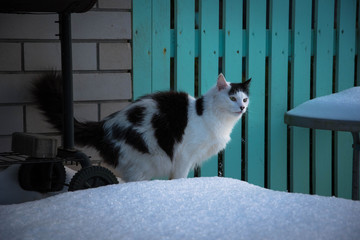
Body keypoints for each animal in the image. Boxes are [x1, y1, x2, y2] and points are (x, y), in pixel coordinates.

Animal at [32, 72, 250, 182]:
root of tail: (104, 125)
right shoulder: (184, 155)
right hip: (143, 162)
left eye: (245, 98)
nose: (242, 107)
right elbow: (179, 178)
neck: (208, 115)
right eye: (232, 98)